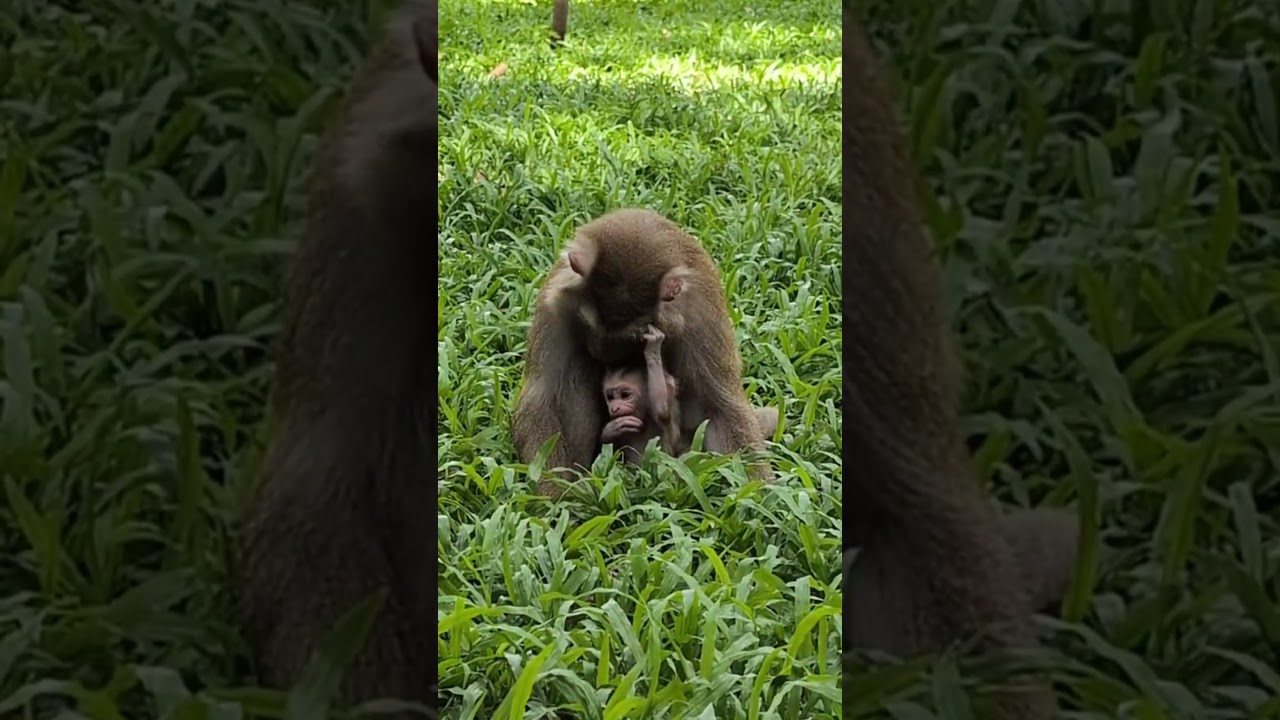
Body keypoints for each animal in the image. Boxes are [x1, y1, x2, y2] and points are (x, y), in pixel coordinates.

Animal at [511, 208, 771, 497]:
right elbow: (541, 401)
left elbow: (720, 406)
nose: (603, 353)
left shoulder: (700, 315)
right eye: (588, 326)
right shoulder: (554, 306)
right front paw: (560, 498)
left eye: (633, 339)